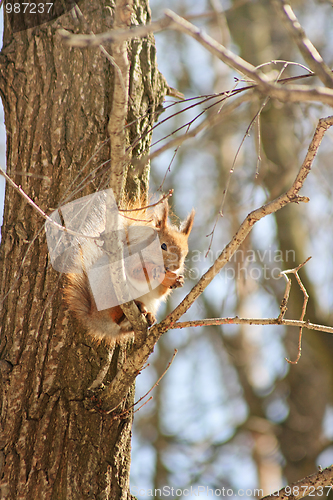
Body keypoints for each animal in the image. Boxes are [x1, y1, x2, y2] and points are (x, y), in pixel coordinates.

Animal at [63, 199, 193, 344]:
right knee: (114, 315)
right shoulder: (131, 261)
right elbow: (135, 272)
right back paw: (132, 309)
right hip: (110, 291)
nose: (176, 266)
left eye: (185, 252)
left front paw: (177, 280)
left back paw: (148, 317)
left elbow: (158, 293)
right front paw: (157, 272)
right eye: (163, 246)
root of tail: (96, 319)